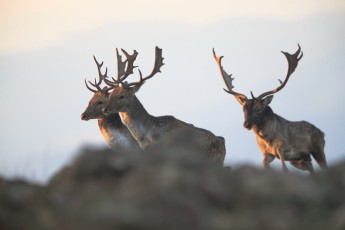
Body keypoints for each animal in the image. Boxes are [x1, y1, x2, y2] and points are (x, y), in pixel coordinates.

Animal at [212, 44, 326, 172]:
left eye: (258, 109)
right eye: (243, 109)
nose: (246, 124)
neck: (266, 139)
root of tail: (322, 133)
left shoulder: (286, 146)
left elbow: (282, 160)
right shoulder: (267, 154)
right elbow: (264, 164)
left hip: (318, 148)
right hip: (301, 160)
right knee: (311, 168)